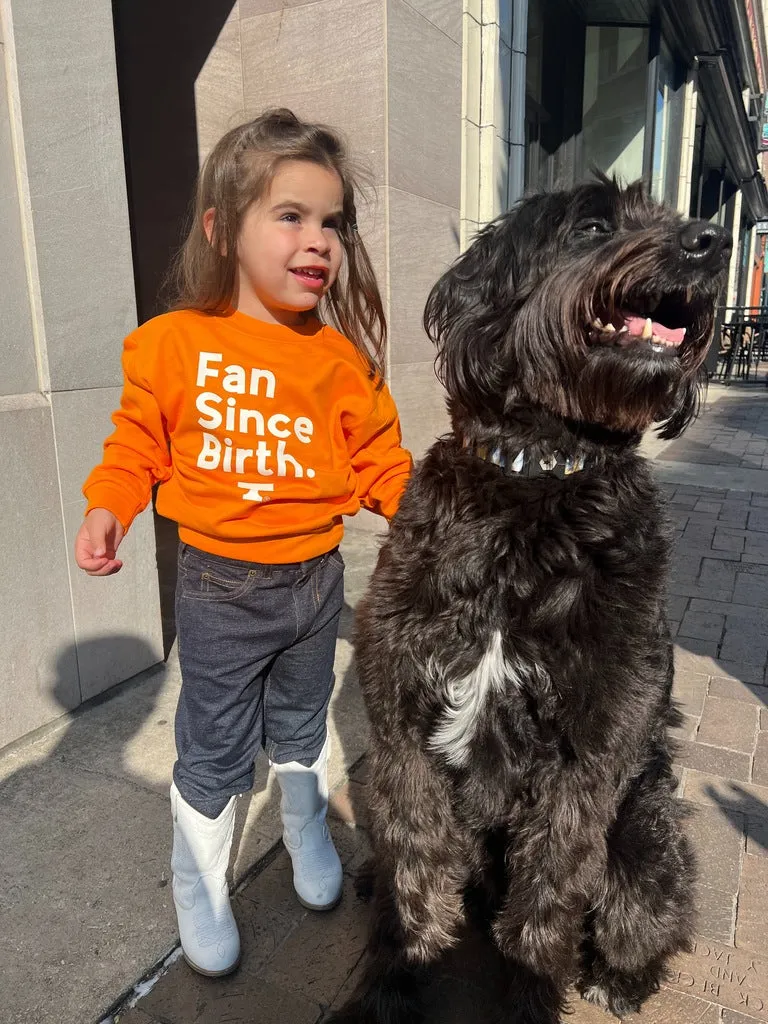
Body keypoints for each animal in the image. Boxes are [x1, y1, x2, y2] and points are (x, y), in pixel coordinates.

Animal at [331, 178, 733, 1024]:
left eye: (673, 217)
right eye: (593, 225)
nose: (710, 240)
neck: (538, 478)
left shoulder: (585, 759)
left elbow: (544, 910)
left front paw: (530, 999)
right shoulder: (402, 727)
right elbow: (414, 880)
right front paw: (390, 985)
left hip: (646, 842)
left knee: (645, 921)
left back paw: (620, 980)